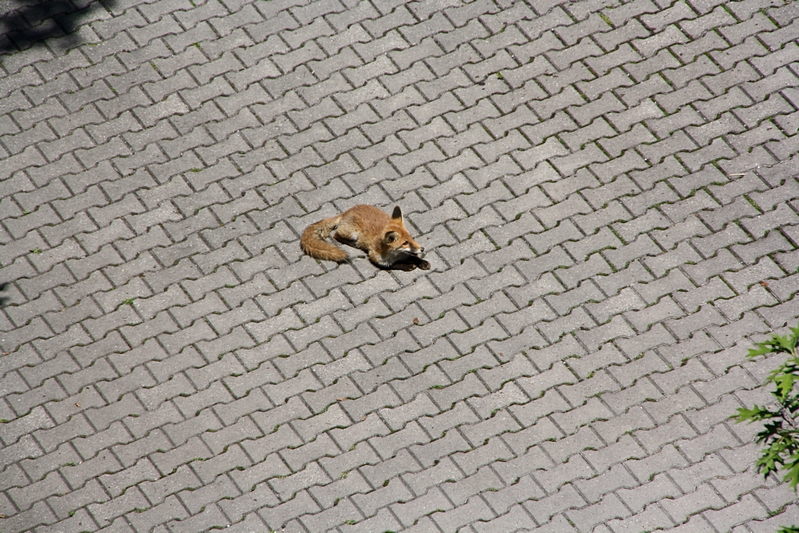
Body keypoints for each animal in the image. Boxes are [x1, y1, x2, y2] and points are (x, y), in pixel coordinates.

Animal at [301, 205, 430, 271]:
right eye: (405, 243)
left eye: (412, 238)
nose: (422, 249)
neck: (394, 255)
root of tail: (346, 212)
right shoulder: (375, 258)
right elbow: (393, 265)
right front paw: (408, 266)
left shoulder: (405, 254)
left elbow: (413, 257)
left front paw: (422, 262)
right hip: (351, 233)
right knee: (336, 235)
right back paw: (354, 243)